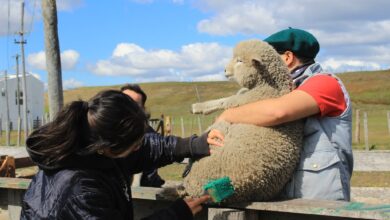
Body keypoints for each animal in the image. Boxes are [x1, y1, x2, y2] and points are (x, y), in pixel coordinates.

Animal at [183, 39, 304, 203]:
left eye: (240, 61)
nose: (224, 70)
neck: (270, 87)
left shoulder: (243, 101)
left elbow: (225, 101)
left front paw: (199, 107)